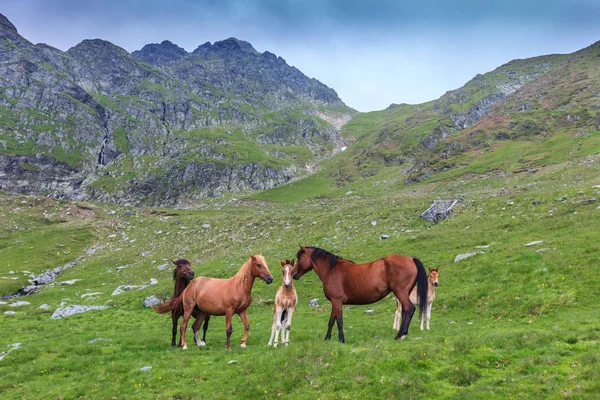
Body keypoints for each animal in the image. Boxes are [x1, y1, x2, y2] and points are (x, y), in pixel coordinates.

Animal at [294, 245, 426, 342]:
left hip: (401, 292)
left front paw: (341, 340)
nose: (294, 274)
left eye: (299, 258)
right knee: (405, 311)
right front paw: (327, 339)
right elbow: (331, 321)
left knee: (409, 309)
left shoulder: (337, 301)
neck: (332, 270)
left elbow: (339, 321)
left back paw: (399, 335)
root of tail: (411, 259)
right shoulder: (334, 303)